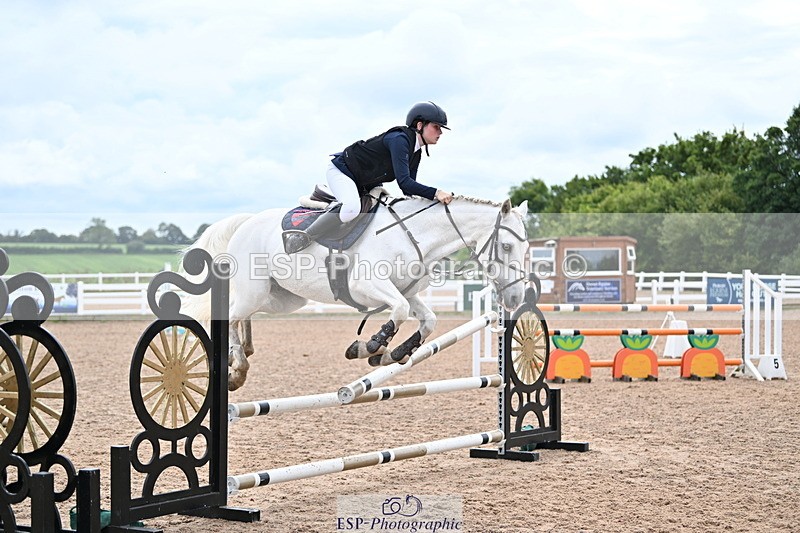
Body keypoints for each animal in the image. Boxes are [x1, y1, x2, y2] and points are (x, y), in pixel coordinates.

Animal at [184, 195, 529, 391]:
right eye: (506, 246)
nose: (514, 299)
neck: (414, 235)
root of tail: (246, 223)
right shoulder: (369, 287)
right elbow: (399, 311)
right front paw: (370, 347)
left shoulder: (408, 292)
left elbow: (427, 320)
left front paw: (393, 353)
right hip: (254, 291)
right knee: (229, 315)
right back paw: (237, 367)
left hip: (283, 298)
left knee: (240, 314)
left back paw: (244, 349)